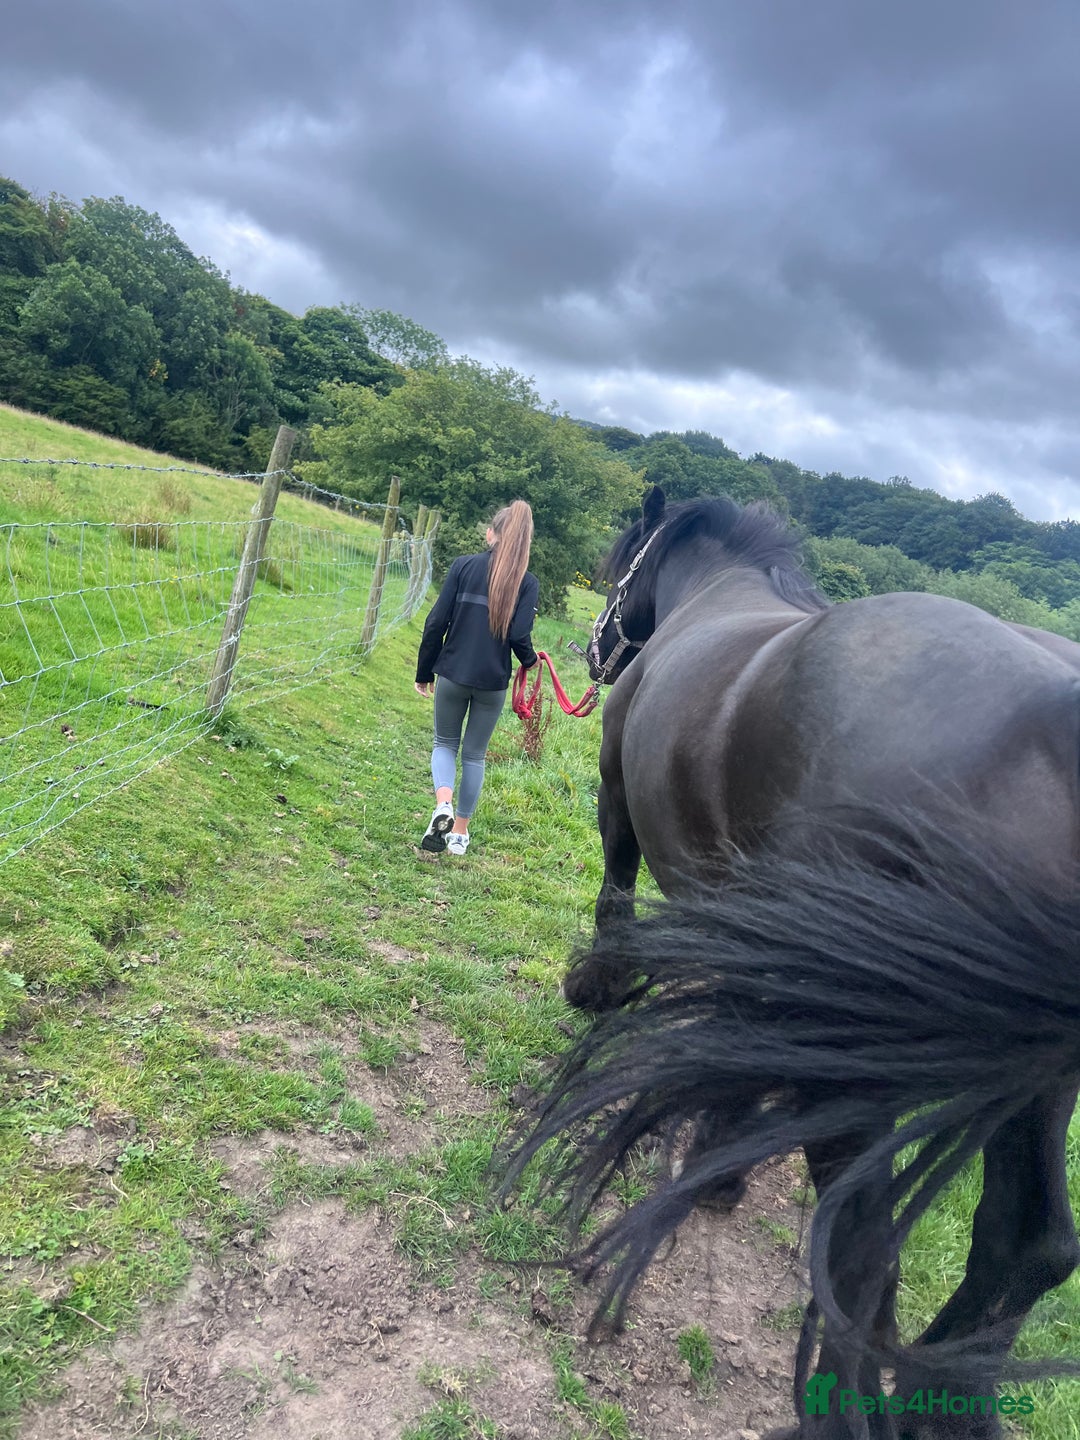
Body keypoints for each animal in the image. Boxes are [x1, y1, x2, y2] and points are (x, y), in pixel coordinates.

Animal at [516, 487, 1080, 1438]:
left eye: (622, 562)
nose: (595, 649)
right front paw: (722, 1162)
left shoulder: (617, 803)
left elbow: (615, 898)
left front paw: (597, 986)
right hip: (1032, 1082)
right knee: (1027, 1246)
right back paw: (938, 1405)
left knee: (860, 1247)